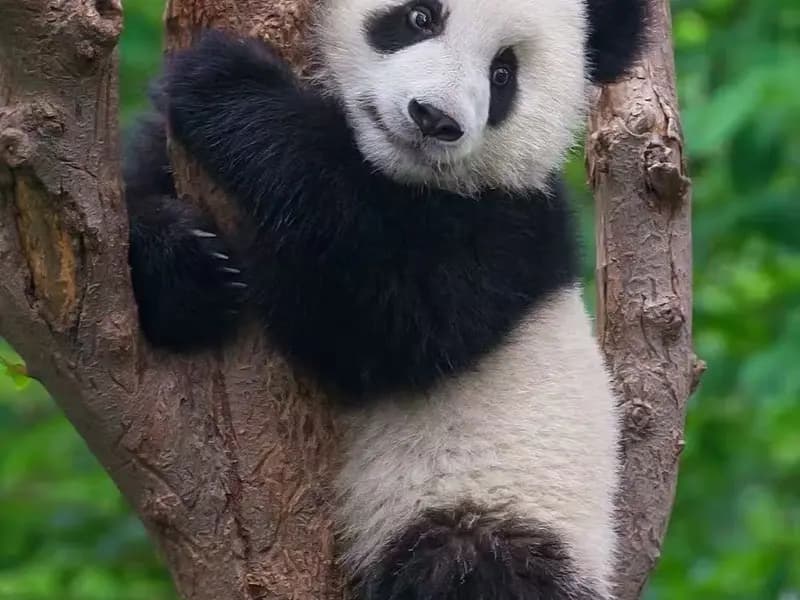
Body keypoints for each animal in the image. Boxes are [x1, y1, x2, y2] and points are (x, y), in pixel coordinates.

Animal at [124, 0, 646, 597]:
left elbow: (388, 322)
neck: (390, 171)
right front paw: (186, 269)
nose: (433, 118)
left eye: (503, 74)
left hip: (498, 511)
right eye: (420, 18)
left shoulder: (510, 230)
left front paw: (228, 84)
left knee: (467, 564)